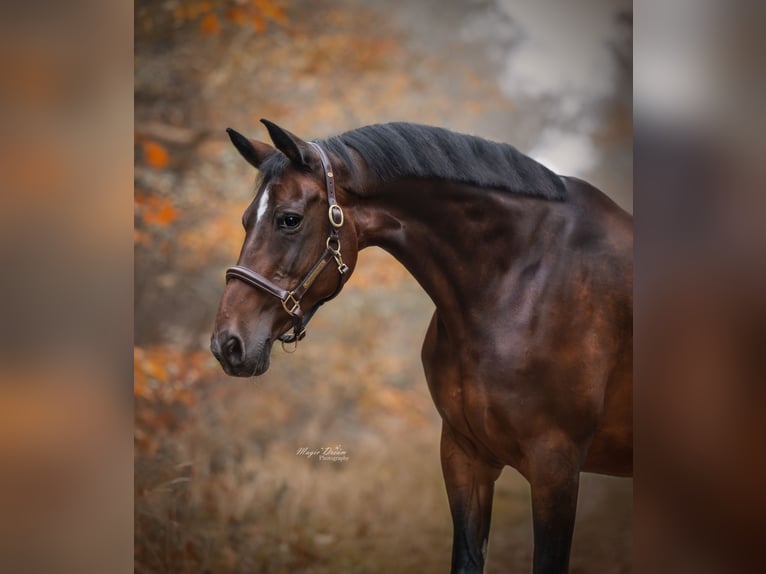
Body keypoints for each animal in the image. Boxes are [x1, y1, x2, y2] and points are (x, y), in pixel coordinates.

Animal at [211, 119, 633, 574]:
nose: (226, 343)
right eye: (246, 220)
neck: (516, 283)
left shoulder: (556, 466)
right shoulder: (464, 456)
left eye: (288, 219)